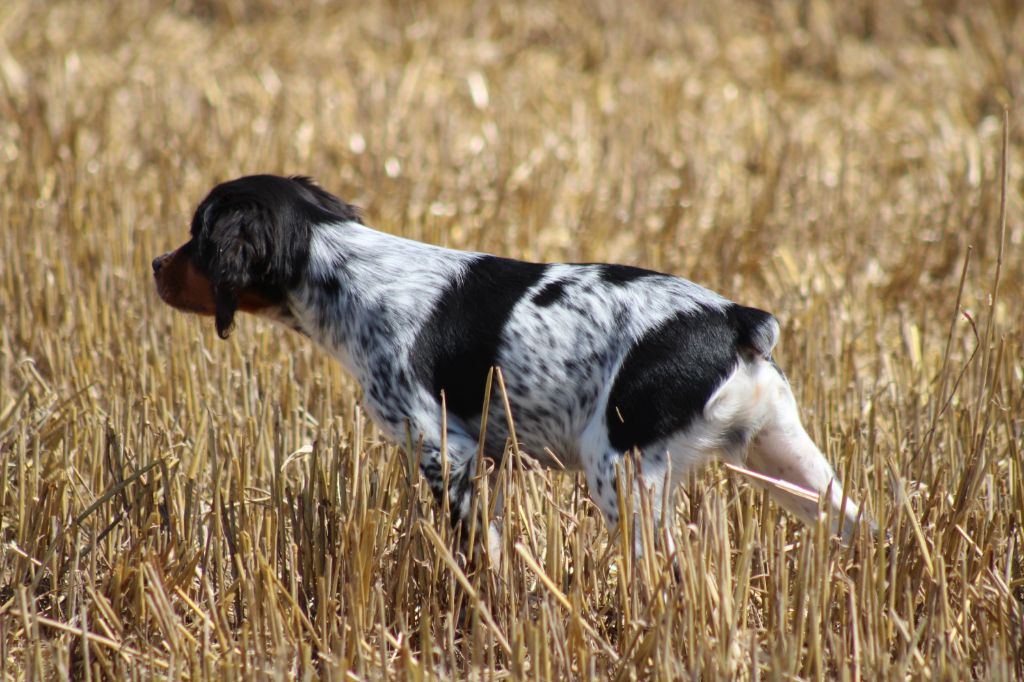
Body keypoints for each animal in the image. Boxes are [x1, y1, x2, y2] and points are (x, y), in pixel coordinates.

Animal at [153, 174, 872, 548]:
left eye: (197, 235)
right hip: (786, 457)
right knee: (859, 526)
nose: (156, 264)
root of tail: (734, 321)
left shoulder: (446, 450)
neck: (348, 266)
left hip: (623, 473)